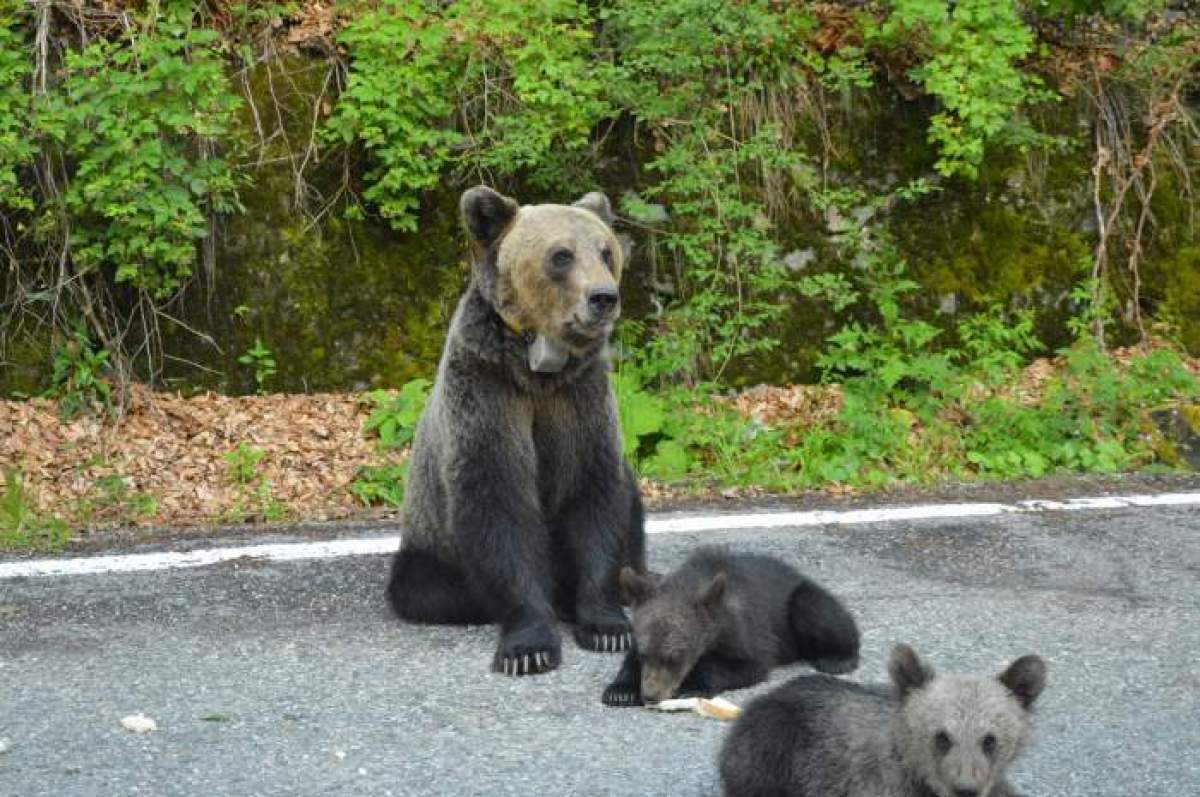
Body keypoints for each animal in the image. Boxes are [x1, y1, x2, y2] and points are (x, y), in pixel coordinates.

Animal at [386, 188, 648, 676]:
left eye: (606, 251)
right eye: (561, 255)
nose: (604, 297)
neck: (538, 371)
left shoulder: (579, 397)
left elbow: (597, 496)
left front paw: (607, 626)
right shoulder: (488, 388)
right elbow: (498, 504)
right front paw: (529, 647)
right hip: (429, 543)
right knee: (427, 588)